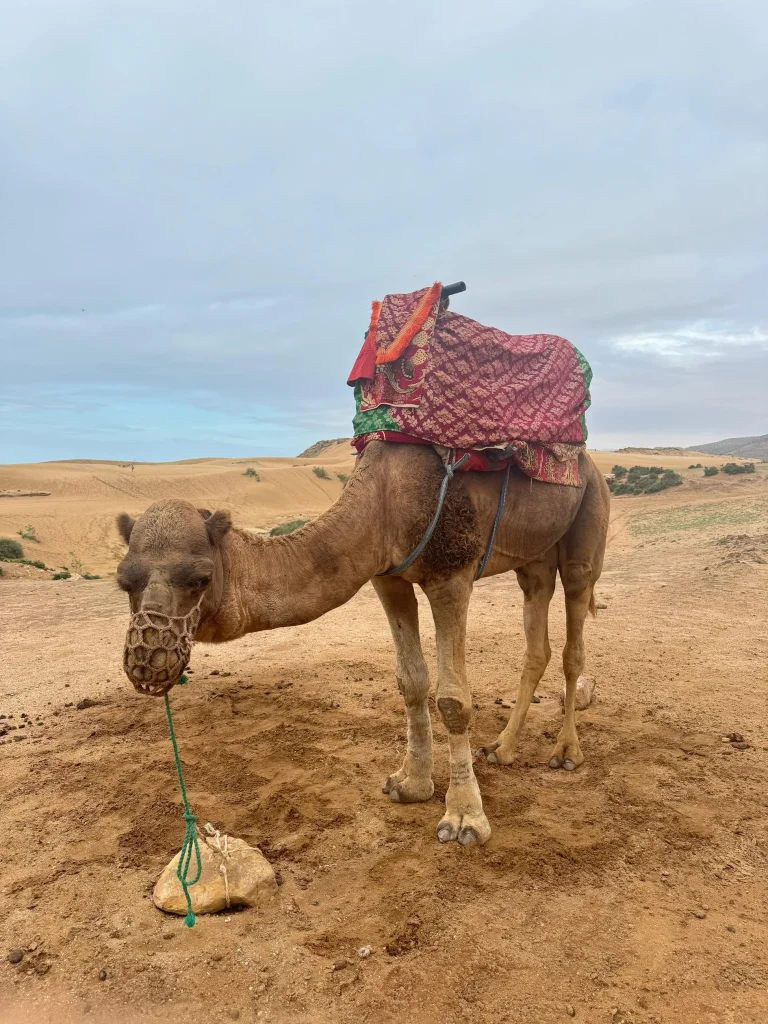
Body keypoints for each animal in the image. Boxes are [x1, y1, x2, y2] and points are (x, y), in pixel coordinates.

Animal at [116, 440, 610, 846]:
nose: (145, 660)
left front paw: (464, 817)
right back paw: (502, 749)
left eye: (200, 578)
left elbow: (453, 700)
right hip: (534, 559)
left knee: (574, 639)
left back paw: (566, 753)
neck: (382, 501)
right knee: (537, 640)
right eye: (125, 582)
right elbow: (411, 682)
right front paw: (411, 785)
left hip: (587, 526)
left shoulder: (452, 573)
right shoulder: (387, 578)